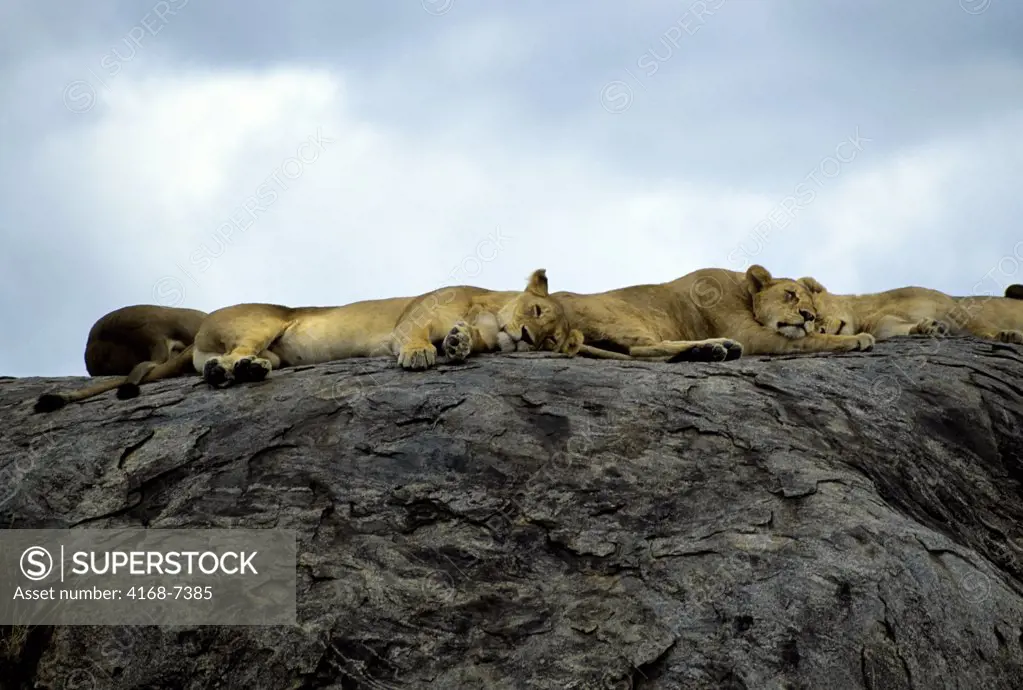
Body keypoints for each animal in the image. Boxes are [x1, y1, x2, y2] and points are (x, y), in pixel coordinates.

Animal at [548, 264, 875, 362]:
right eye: (790, 294)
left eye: (815, 308)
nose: (808, 316)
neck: (744, 291)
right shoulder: (752, 335)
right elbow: (809, 341)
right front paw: (858, 338)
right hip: (623, 317)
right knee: (644, 349)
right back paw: (718, 348)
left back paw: (712, 350)